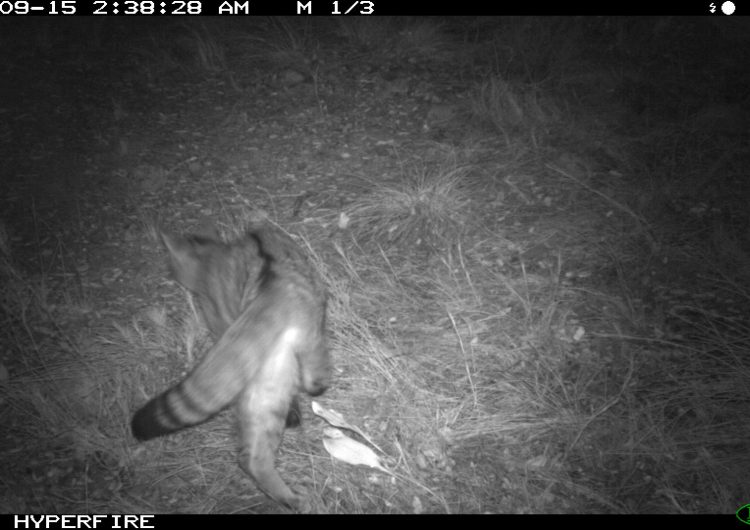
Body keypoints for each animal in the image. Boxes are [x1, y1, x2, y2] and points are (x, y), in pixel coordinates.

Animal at [132, 222, 332, 508]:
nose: (171, 275)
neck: (213, 259)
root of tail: (270, 295)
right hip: (303, 346)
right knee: (313, 378)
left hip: (267, 381)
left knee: (252, 458)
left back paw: (288, 497)